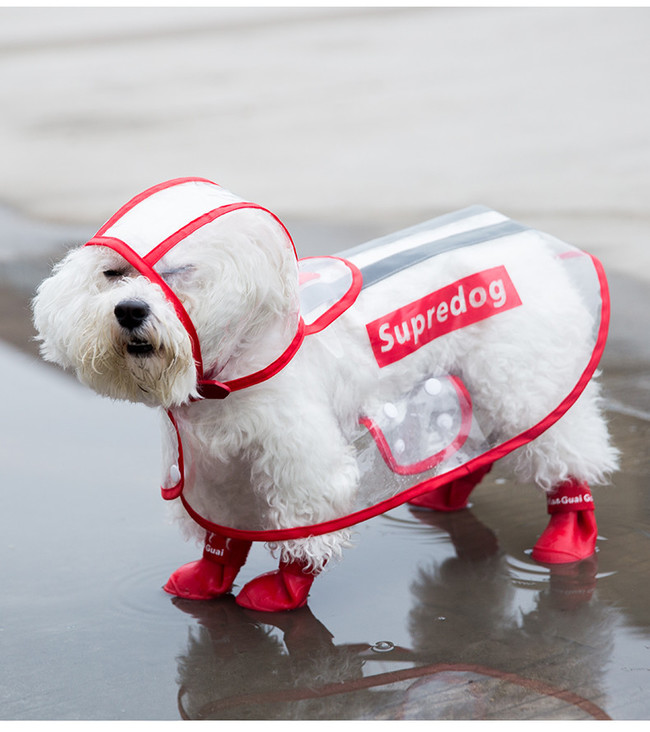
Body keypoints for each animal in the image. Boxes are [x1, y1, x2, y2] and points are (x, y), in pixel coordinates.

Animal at [31, 179, 616, 612]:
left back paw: (569, 536)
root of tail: (526, 240)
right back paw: (448, 491)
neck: (228, 373)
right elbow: (225, 533)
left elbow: (304, 523)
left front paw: (285, 589)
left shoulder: (298, 459)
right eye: (112, 274)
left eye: (181, 274)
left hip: (524, 380)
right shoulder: (215, 466)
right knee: (478, 441)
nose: (129, 310)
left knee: (562, 452)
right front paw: (209, 576)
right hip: (462, 380)